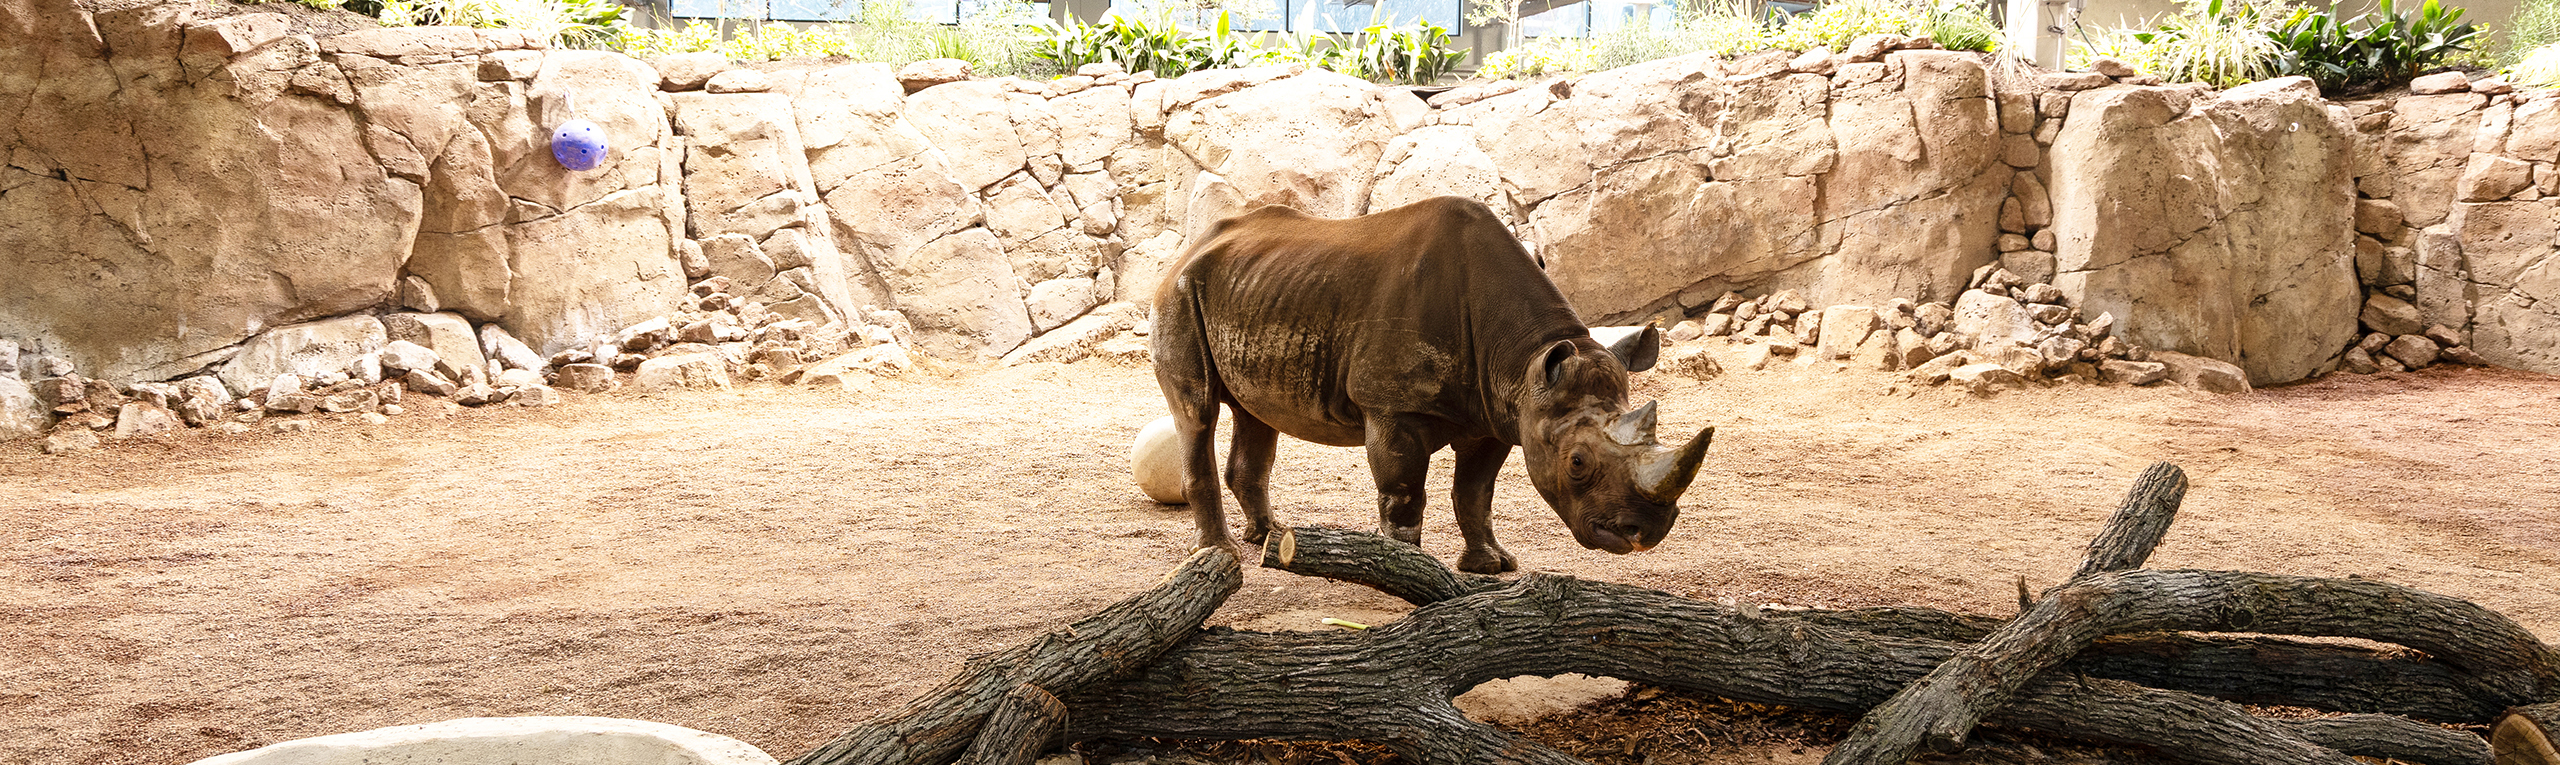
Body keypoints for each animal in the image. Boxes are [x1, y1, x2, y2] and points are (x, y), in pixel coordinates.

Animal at [1151, 196, 1715, 574]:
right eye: (1577, 462)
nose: (1646, 534)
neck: (1523, 357)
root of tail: (1192, 246)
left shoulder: (1498, 413)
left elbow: (1475, 492)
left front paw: (1492, 565)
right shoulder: (1392, 408)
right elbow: (1403, 495)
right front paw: (1406, 575)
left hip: (1252, 287)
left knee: (1254, 415)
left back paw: (1269, 538)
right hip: (1178, 294)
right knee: (1197, 412)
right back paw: (1220, 553)